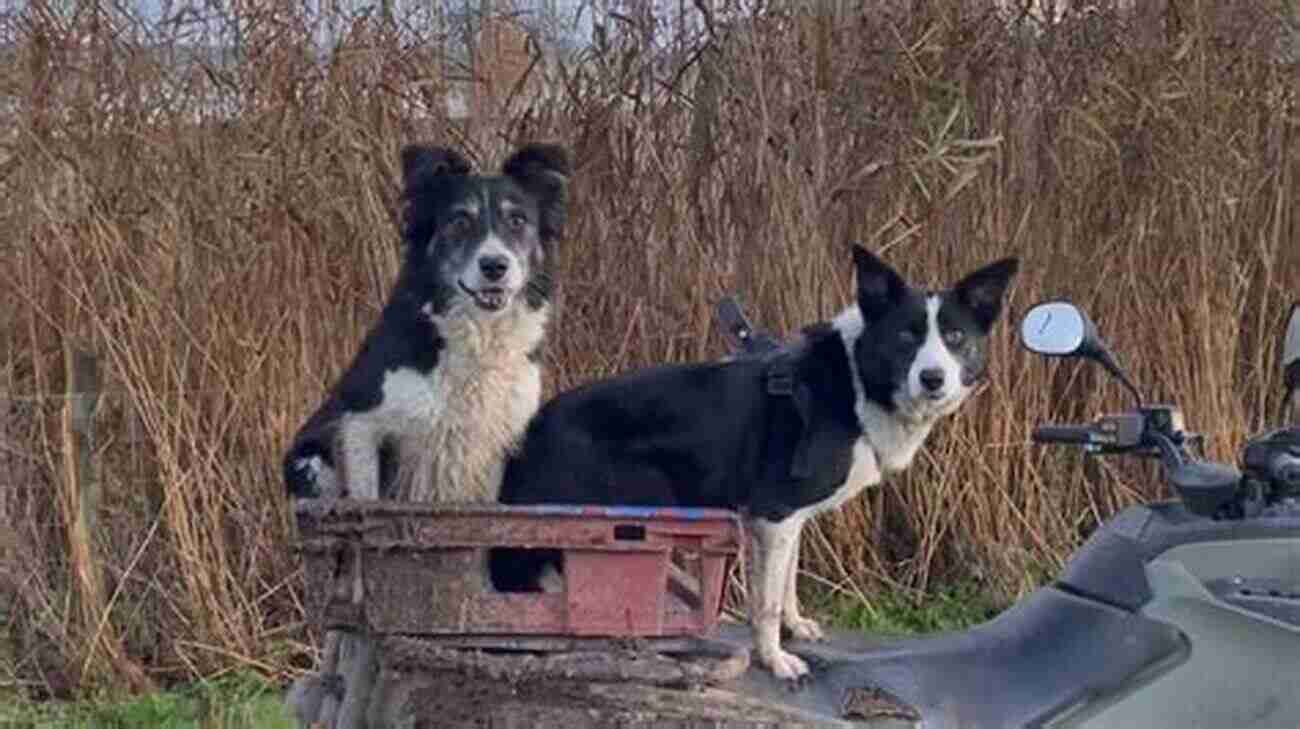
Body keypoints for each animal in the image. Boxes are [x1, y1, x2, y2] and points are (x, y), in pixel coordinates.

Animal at [284, 142, 569, 506]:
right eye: (459, 220)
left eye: (518, 220)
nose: (494, 266)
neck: (479, 333)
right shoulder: (360, 423)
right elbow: (366, 493)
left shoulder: (495, 444)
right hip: (311, 461)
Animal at [491, 245, 1019, 680]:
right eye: (907, 337)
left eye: (955, 337)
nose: (933, 379)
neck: (856, 383)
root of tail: (530, 433)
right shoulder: (773, 513)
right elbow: (764, 602)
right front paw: (776, 659)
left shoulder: (789, 519)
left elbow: (784, 585)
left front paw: (796, 627)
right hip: (636, 493)